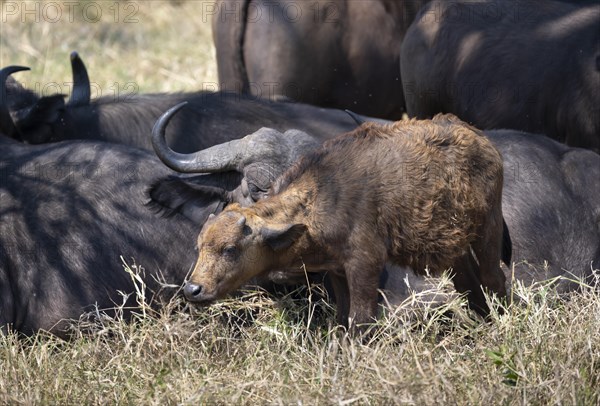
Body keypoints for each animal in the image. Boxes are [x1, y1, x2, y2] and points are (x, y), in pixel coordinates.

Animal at [183, 113, 506, 330]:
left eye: (230, 249)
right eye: (200, 247)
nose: (192, 290)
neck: (320, 198)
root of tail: (479, 138)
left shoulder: (365, 265)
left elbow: (360, 320)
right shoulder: (336, 270)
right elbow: (341, 319)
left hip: (488, 230)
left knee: (493, 277)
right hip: (455, 246)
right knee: (468, 284)